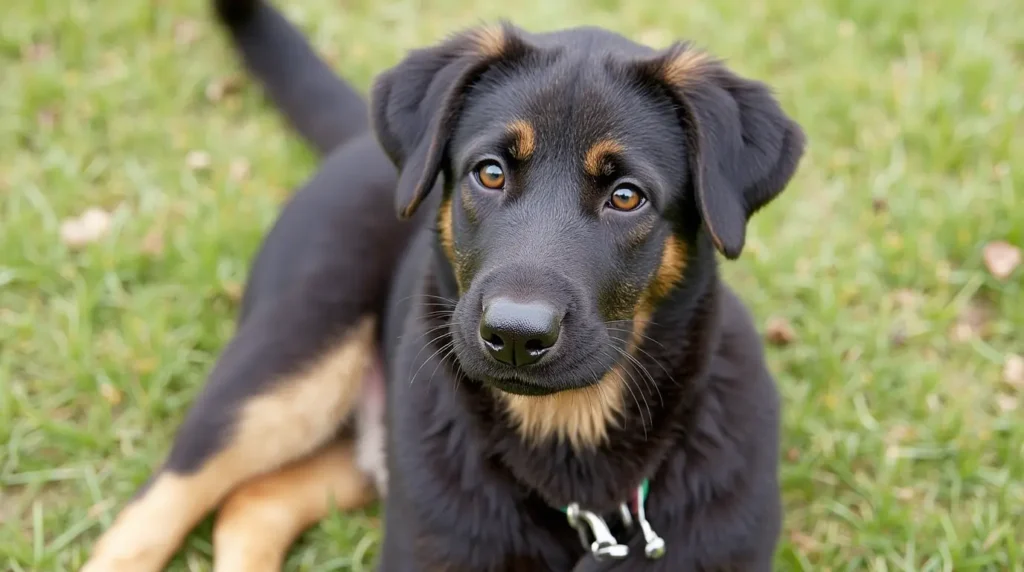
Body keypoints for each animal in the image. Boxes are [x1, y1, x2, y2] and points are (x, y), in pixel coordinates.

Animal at [81, 0, 798, 568]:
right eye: (489, 173)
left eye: (627, 197)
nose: (514, 336)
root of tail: (357, 140)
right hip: (286, 366)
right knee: (151, 514)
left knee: (255, 503)